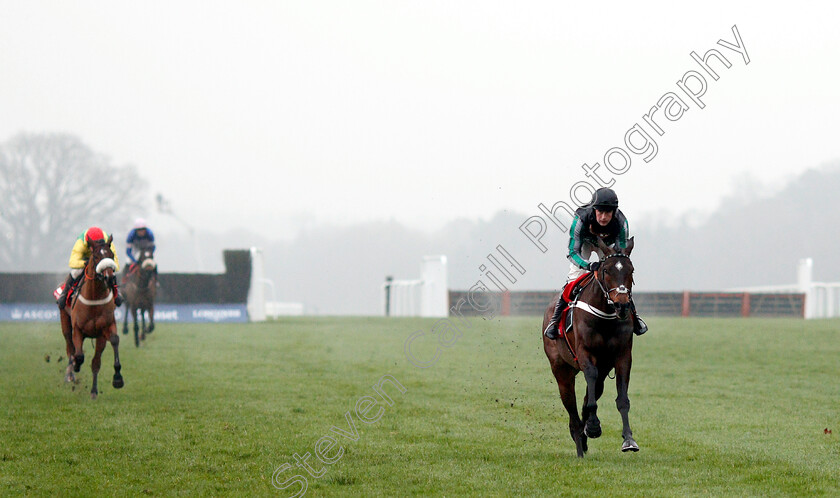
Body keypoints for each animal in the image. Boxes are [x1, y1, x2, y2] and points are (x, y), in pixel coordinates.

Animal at [58, 235, 124, 398]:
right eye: (96, 256)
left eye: (111, 255)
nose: (109, 278)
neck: (94, 297)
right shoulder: (78, 330)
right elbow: (79, 355)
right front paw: (76, 366)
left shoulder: (104, 330)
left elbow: (99, 359)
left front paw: (116, 379)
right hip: (65, 321)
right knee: (70, 348)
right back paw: (70, 374)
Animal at [544, 237, 636, 460]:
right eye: (606, 270)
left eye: (631, 270)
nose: (622, 305)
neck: (605, 317)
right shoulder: (585, 353)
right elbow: (589, 383)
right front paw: (593, 427)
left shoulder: (622, 356)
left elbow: (621, 399)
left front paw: (628, 440)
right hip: (561, 370)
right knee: (571, 407)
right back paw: (579, 441)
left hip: (602, 370)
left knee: (589, 396)